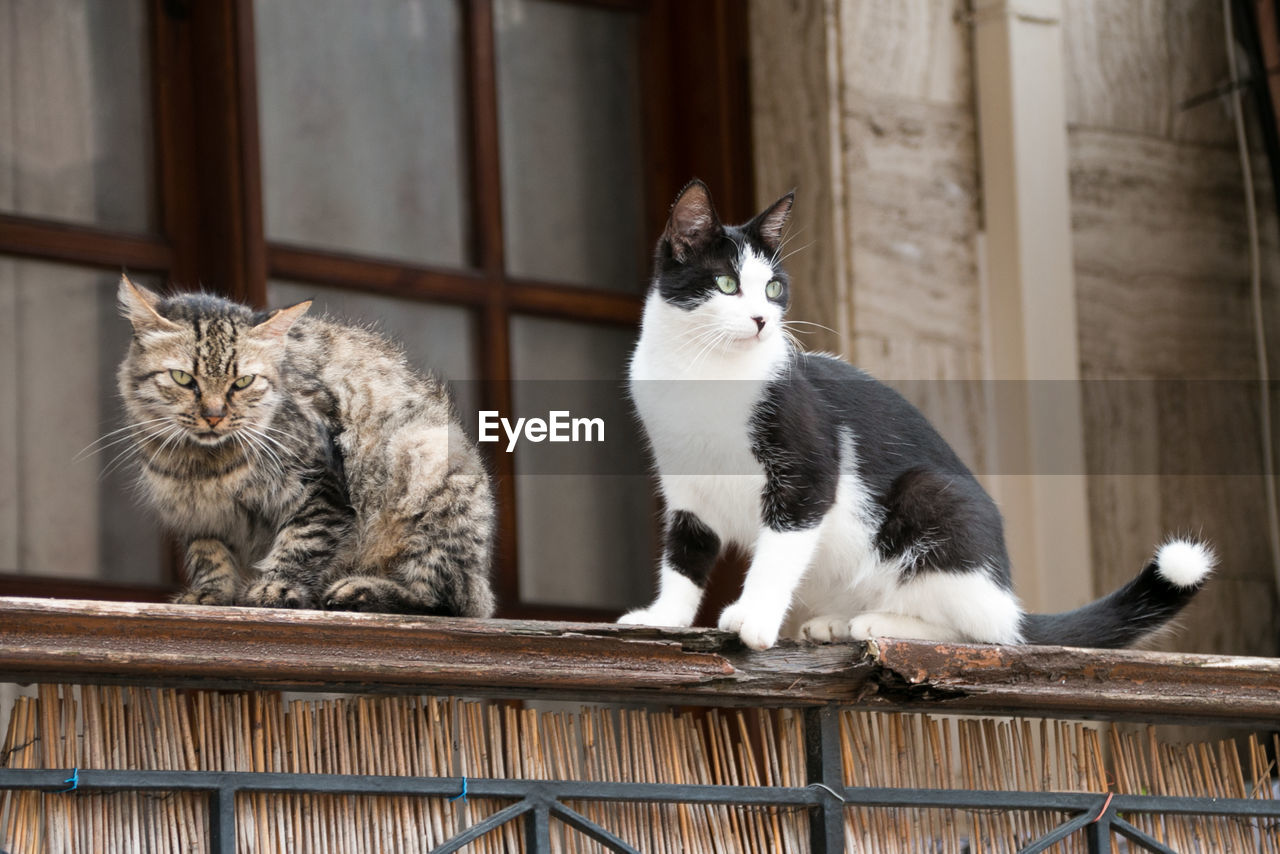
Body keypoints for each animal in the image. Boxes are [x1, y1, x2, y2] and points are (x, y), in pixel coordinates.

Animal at [116, 277, 494, 617]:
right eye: (183, 379)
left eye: (242, 383)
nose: (213, 416)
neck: (203, 465)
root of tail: (480, 577)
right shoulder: (198, 515)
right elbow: (209, 556)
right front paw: (211, 594)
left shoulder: (320, 488)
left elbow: (301, 542)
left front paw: (274, 587)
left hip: (424, 455)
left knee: (441, 598)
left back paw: (359, 591)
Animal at [616, 179, 1208, 647]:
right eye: (726, 284)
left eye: (774, 287)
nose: (763, 320)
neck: (703, 373)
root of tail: (1008, 595)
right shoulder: (685, 482)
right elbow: (685, 555)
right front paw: (664, 617)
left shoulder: (808, 467)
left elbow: (778, 552)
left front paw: (755, 618)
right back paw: (837, 620)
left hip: (934, 503)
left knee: (983, 630)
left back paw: (879, 623)